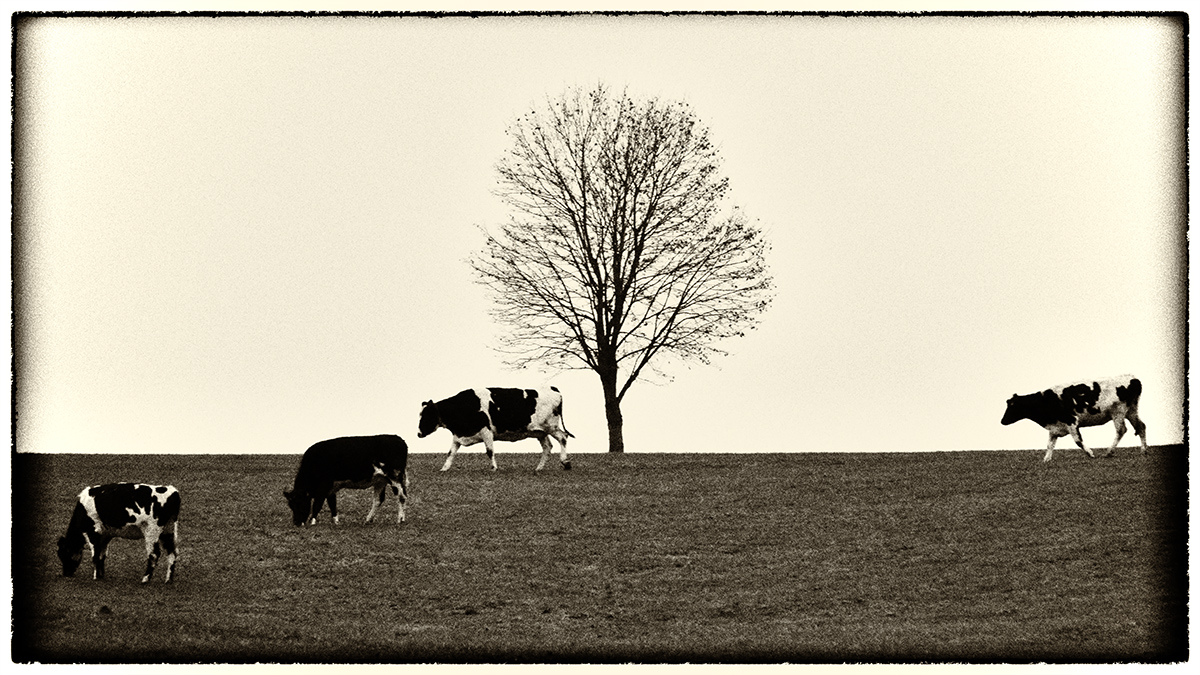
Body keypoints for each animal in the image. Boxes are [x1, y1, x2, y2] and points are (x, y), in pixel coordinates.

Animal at [420, 386, 573, 470]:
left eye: (426, 416)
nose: (418, 433)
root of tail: (552, 389)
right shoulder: (458, 435)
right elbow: (450, 453)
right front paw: (444, 468)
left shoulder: (486, 431)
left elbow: (489, 451)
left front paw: (494, 468)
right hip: (539, 432)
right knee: (547, 447)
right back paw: (539, 468)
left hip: (551, 426)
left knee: (563, 437)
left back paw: (565, 462)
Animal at [998, 372, 1147, 461]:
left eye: (1012, 406)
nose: (1002, 421)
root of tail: (1133, 378)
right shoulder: (1054, 428)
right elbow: (1049, 444)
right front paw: (1046, 460)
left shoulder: (1072, 421)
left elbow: (1078, 441)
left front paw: (1090, 453)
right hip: (1131, 410)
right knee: (1141, 426)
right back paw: (1143, 450)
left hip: (1118, 411)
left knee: (1121, 430)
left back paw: (1109, 452)